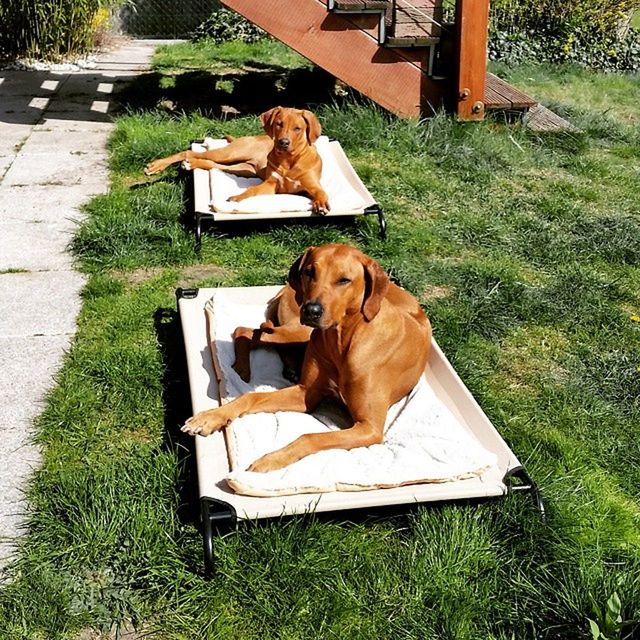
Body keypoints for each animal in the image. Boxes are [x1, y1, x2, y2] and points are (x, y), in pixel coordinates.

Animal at [142, 106, 328, 214]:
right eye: (279, 124)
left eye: (298, 128)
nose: (283, 142)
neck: (289, 160)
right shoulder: (270, 184)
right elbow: (252, 190)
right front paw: (237, 197)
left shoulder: (312, 185)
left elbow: (320, 192)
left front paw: (321, 203)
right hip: (230, 154)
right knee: (189, 152)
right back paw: (156, 166)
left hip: (241, 168)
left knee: (211, 164)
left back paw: (190, 165)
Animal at [180, 245, 432, 476]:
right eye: (310, 272)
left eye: (344, 280)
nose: (311, 310)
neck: (340, 341)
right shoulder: (306, 392)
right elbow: (251, 397)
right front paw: (211, 417)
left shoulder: (369, 427)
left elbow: (310, 436)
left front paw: (272, 459)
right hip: (300, 330)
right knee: (246, 330)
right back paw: (244, 367)